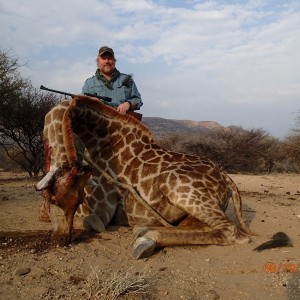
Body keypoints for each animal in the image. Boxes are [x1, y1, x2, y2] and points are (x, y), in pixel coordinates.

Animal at [35, 95, 253, 258]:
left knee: (231, 231)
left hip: (175, 185)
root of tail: (227, 179)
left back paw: (146, 238)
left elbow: (91, 222)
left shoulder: (102, 211)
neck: (99, 142)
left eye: (57, 199)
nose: (61, 240)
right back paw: (143, 231)